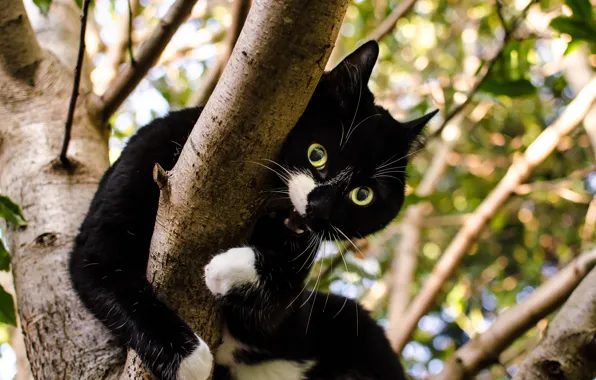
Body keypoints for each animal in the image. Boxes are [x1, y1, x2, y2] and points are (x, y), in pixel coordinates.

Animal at [68, 39, 438, 380]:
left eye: (363, 195)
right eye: (317, 154)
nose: (320, 208)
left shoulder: (290, 317)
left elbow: (283, 294)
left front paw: (227, 269)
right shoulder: (144, 161)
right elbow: (106, 270)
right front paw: (189, 360)